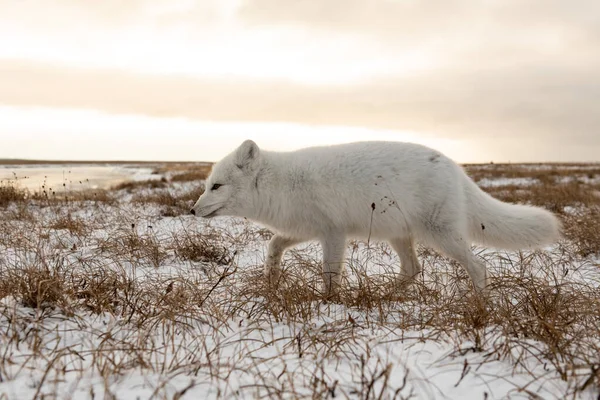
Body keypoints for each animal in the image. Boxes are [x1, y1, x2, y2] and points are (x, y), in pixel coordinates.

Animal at [192, 140, 564, 294]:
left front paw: (328, 301)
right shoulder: (305, 228)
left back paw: (480, 304)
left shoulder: (333, 233)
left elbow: (330, 273)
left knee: (478, 266)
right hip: (399, 234)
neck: (281, 184)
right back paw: (387, 293)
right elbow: (273, 245)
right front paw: (271, 278)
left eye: (216, 186)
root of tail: (456, 168)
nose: (192, 210)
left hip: (442, 235)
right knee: (414, 269)